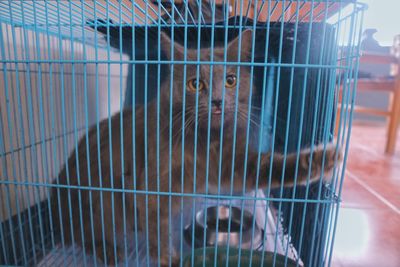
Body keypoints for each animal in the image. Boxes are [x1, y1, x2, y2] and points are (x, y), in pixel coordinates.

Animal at [51, 30, 342, 266]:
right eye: (195, 84)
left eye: (230, 80)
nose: (217, 101)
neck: (205, 142)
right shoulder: (153, 183)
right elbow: (157, 227)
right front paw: (167, 258)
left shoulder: (233, 163)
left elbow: (273, 167)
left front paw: (324, 159)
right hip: (99, 201)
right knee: (85, 232)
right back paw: (109, 250)